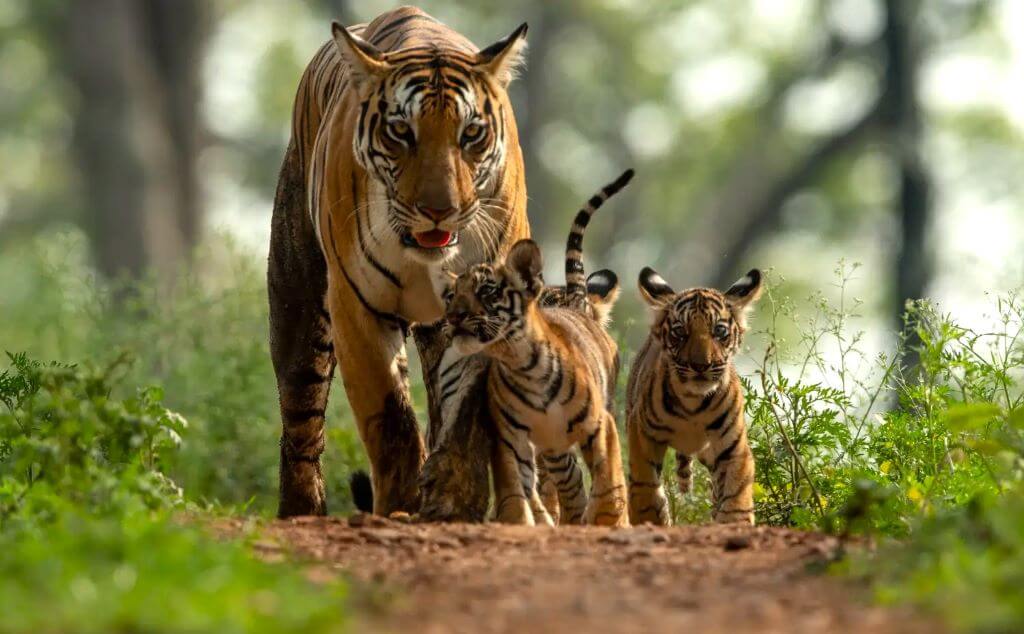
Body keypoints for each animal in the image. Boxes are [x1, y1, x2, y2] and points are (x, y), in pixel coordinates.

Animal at [268, 7, 532, 519]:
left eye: (471, 134)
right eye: (401, 132)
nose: (439, 209)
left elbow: (463, 410)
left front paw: (452, 501)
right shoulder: (358, 306)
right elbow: (391, 418)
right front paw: (401, 504)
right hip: (299, 302)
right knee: (302, 414)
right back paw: (302, 509)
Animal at [440, 170, 634, 526]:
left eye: (486, 292)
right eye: (451, 296)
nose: (454, 317)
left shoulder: (598, 425)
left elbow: (607, 475)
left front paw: (609, 517)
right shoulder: (516, 438)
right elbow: (524, 486)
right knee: (564, 479)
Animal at [626, 267, 763, 526]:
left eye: (719, 331)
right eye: (681, 331)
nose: (701, 365)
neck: (693, 402)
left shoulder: (732, 447)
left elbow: (736, 491)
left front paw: (735, 522)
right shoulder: (642, 433)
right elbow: (645, 483)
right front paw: (651, 516)